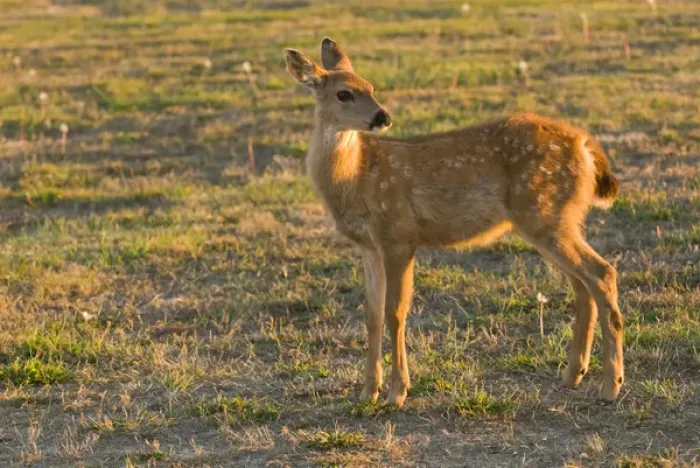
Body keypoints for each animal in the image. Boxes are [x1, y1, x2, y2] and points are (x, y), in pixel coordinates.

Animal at [283, 37, 624, 407]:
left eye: (370, 87)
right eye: (344, 93)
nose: (382, 116)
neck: (355, 176)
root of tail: (585, 145)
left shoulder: (399, 234)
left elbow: (395, 312)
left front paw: (397, 392)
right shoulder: (369, 246)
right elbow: (371, 314)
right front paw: (367, 392)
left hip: (544, 215)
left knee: (601, 272)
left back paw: (611, 385)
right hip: (556, 219)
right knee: (583, 284)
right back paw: (573, 374)